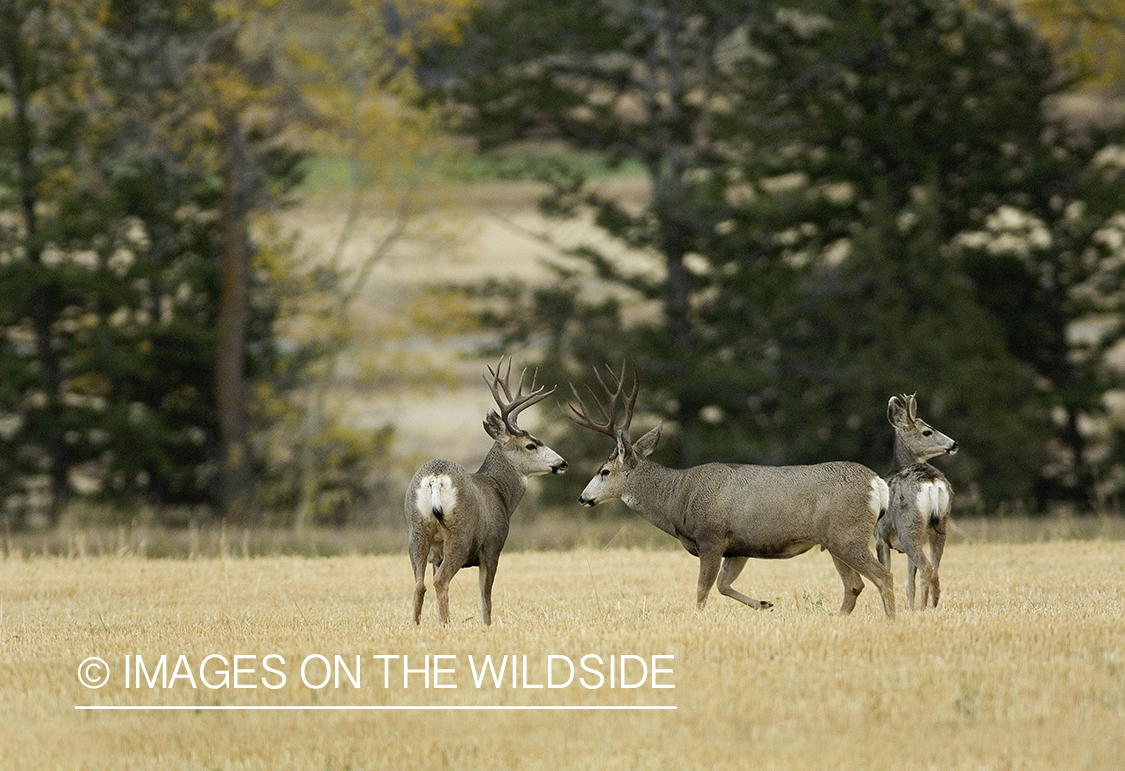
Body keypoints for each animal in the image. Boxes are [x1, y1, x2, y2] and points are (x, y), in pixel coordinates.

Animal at [406, 358, 567, 625]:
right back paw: (447, 626)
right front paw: (487, 627)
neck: (499, 491)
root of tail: (436, 478)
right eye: (531, 445)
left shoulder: (436, 554)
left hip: (418, 531)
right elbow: (486, 599)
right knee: (440, 581)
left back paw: (417, 625)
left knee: (419, 584)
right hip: (459, 534)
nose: (563, 463)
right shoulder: (492, 546)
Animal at [566, 364, 895, 618]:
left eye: (604, 471)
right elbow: (723, 585)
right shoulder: (739, 546)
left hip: (847, 534)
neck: (678, 498)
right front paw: (764, 604)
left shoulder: (711, 537)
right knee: (854, 585)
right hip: (834, 540)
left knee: (883, 576)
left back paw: (891, 620)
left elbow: (703, 590)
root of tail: (877, 483)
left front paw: (698, 619)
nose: (582, 497)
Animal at [876, 394, 958, 610]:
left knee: (927, 568)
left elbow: (886, 576)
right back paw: (931, 607)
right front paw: (910, 609)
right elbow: (908, 583)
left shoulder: (880, 537)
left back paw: (922, 608)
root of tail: (932, 482)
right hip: (939, 525)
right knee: (935, 570)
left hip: (908, 526)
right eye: (927, 432)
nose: (954, 444)